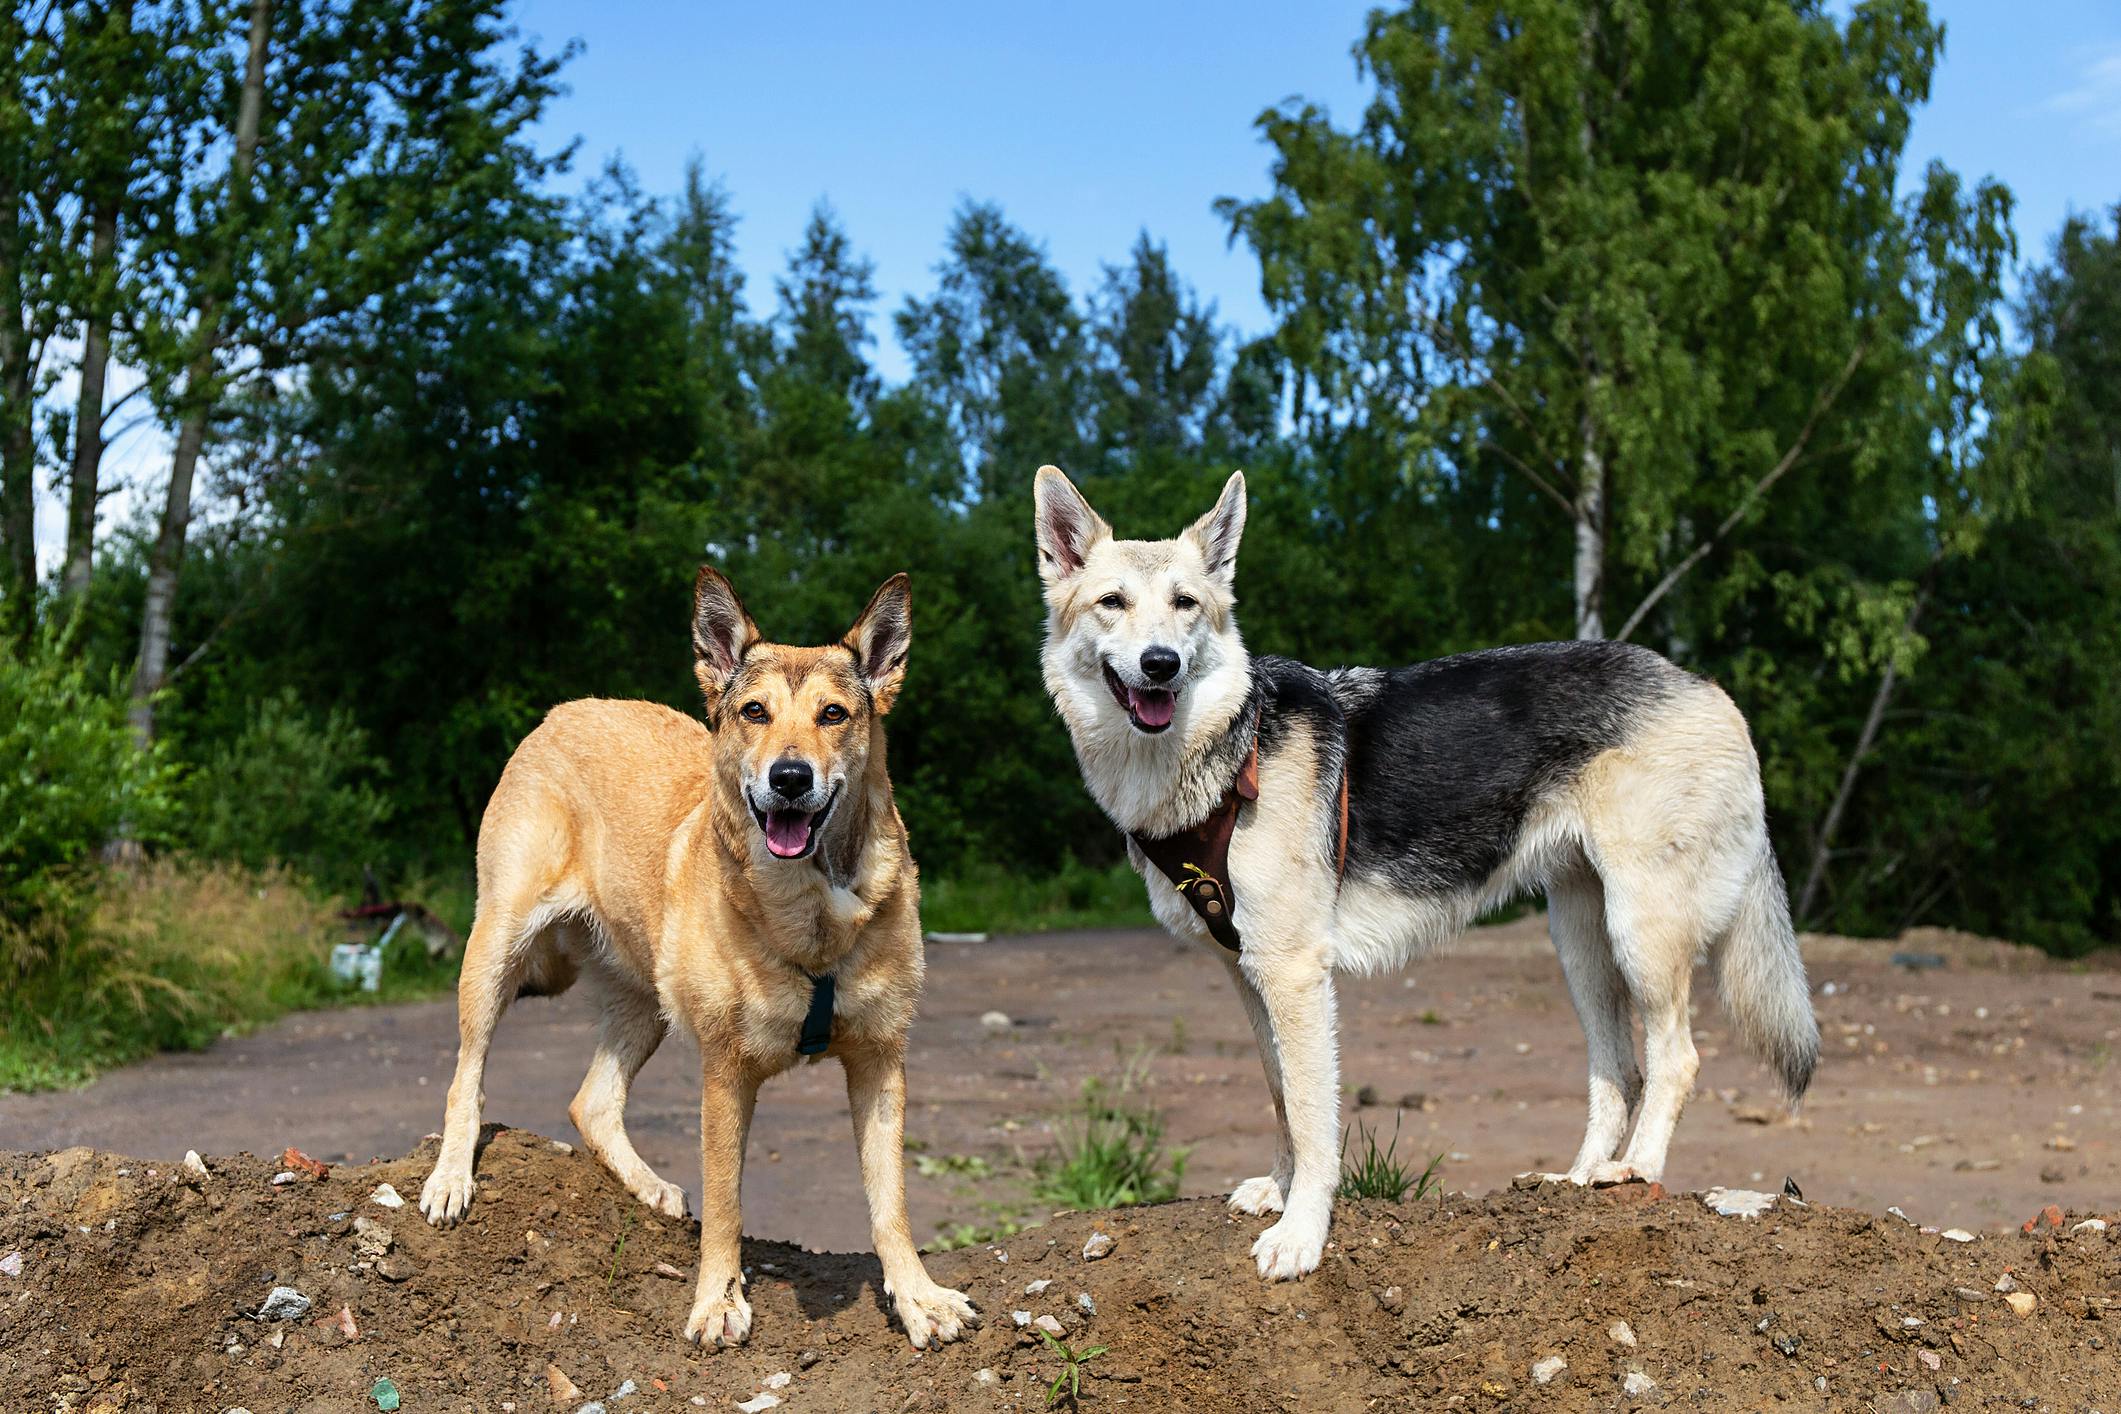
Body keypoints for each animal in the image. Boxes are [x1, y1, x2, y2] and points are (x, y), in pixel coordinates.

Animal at [419, 568, 975, 1348]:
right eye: (754, 712)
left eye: (834, 714)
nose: (791, 777)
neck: (809, 914)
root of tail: (562, 712)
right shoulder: (725, 1072)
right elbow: (727, 1203)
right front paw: (716, 1301)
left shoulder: (880, 1062)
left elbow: (889, 1200)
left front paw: (917, 1297)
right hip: (494, 952)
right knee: (466, 1077)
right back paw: (450, 1178)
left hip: (645, 1003)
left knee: (592, 1102)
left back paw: (647, 1185)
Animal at [1035, 464, 1815, 1280]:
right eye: (1112, 603)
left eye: (1185, 604)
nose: (1161, 664)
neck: (1225, 750)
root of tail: (1706, 686)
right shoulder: (1249, 978)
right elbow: (1281, 1096)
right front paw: (1279, 1191)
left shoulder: (1294, 976)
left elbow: (1313, 1118)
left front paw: (1301, 1233)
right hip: (1581, 944)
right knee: (1619, 1071)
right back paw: (1574, 1182)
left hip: (1642, 935)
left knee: (1676, 1058)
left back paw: (1637, 1170)